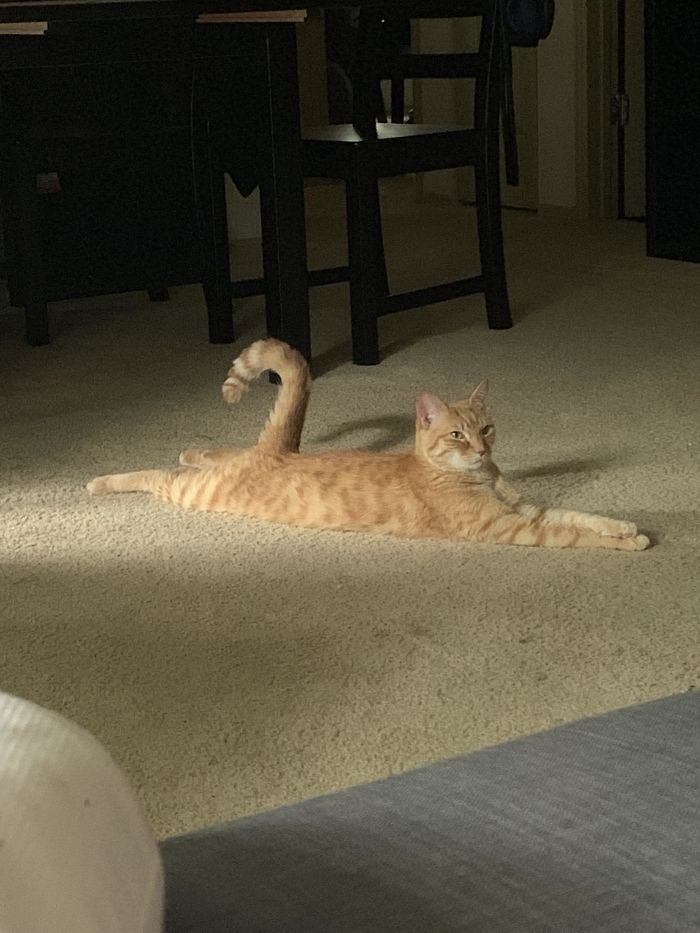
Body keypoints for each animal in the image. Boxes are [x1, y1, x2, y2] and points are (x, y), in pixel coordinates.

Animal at [87, 338, 652, 548]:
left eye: (486, 429)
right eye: (457, 434)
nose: (482, 450)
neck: (477, 476)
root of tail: (276, 454)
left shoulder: (528, 511)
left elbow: (583, 516)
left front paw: (625, 525)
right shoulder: (514, 528)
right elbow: (576, 534)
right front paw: (627, 541)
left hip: (240, 461)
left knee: (214, 452)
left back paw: (190, 449)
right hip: (194, 491)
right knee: (156, 476)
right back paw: (99, 481)